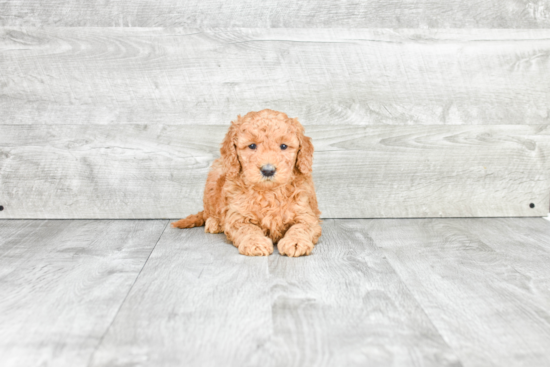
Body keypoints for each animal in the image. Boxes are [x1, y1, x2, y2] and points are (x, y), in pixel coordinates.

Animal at [170, 110, 322, 258]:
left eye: (284, 146)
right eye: (252, 146)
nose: (268, 170)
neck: (269, 192)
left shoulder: (306, 213)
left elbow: (301, 227)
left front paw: (296, 242)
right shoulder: (237, 216)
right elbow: (248, 228)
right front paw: (255, 243)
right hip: (215, 176)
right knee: (209, 211)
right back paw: (215, 223)